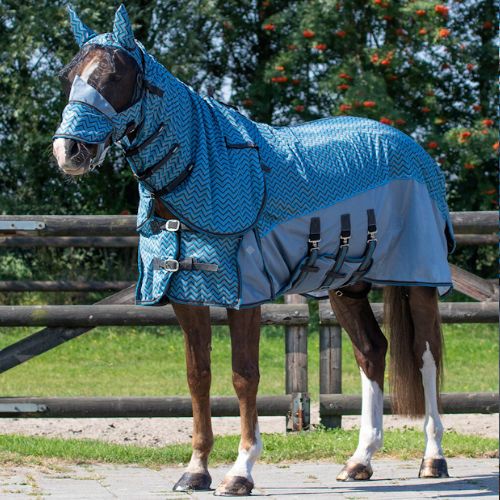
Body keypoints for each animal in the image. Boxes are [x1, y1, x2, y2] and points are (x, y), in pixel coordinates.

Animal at [52, 4, 456, 496]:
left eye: (114, 75)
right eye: (68, 76)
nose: (69, 151)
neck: (208, 171)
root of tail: (413, 150)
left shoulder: (244, 297)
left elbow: (244, 376)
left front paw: (240, 471)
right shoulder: (188, 296)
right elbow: (198, 376)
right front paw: (196, 470)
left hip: (419, 279)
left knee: (426, 355)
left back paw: (433, 459)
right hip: (347, 287)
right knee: (371, 352)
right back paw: (359, 461)